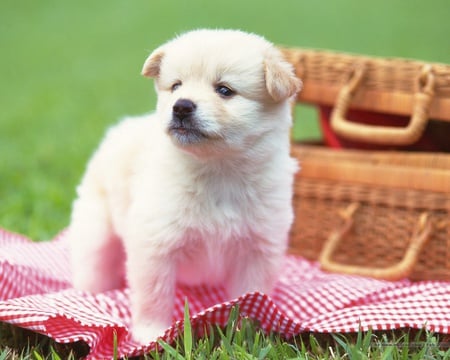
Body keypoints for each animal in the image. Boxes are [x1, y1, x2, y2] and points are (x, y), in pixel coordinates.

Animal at [68, 29, 300, 344]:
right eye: (176, 86)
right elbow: (154, 296)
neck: (218, 172)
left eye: (224, 90)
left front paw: (244, 335)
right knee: (93, 264)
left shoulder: (259, 249)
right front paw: (150, 334)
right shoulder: (154, 244)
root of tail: (118, 130)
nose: (181, 106)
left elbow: (250, 298)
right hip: (97, 230)